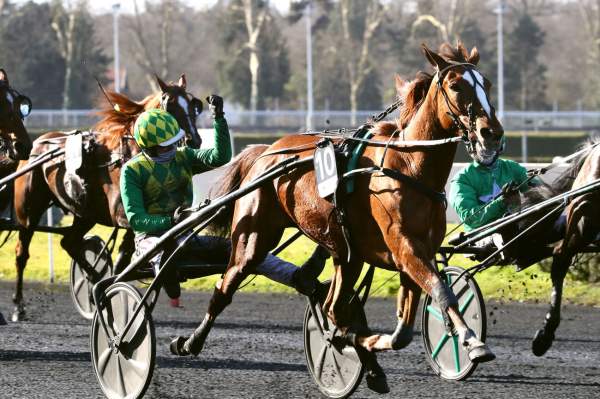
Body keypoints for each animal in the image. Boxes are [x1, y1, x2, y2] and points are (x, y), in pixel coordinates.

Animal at [11, 75, 204, 320]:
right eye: (169, 104)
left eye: (194, 105)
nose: (194, 140)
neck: (130, 154)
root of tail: (38, 143)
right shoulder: (120, 213)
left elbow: (127, 251)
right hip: (29, 212)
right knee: (21, 254)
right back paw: (19, 306)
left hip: (85, 213)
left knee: (69, 242)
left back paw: (94, 282)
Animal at [172, 43, 502, 388]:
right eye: (456, 85)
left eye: (488, 84)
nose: (491, 133)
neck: (410, 169)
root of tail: (266, 151)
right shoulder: (406, 248)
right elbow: (441, 290)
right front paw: (472, 341)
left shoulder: (414, 254)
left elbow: (403, 330)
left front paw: (361, 342)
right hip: (253, 239)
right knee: (226, 287)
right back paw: (190, 341)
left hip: (346, 254)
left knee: (332, 304)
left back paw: (363, 358)